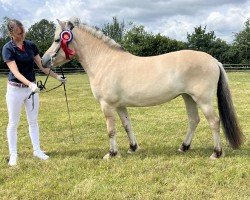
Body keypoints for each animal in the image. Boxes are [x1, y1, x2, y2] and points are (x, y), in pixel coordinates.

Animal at [42, 18, 243, 159]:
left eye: (57, 39)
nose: (44, 61)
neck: (105, 61)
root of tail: (213, 60)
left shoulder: (107, 105)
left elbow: (111, 130)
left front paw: (112, 154)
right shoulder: (120, 105)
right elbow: (127, 125)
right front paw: (132, 148)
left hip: (203, 99)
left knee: (214, 122)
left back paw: (216, 153)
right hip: (188, 97)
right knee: (194, 120)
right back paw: (183, 147)